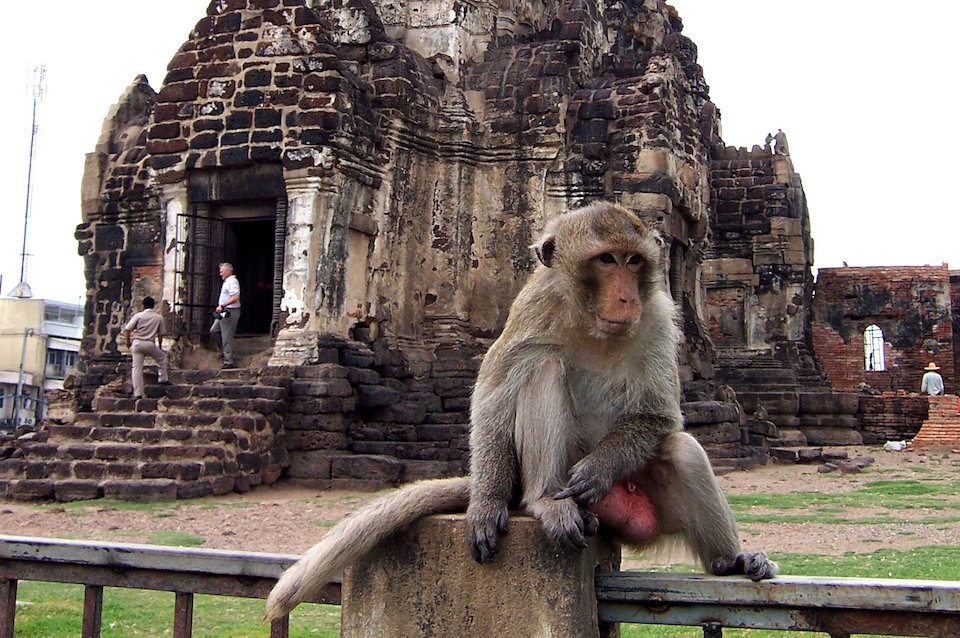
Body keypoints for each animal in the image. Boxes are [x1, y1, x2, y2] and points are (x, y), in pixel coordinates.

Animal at [265, 201, 777, 620]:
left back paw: (729, 561)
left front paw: (597, 468)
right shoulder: (531, 306)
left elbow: (661, 416)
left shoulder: (658, 317)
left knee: (681, 451)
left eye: (634, 262)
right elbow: (493, 395)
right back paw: (546, 502)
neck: (590, 321)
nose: (627, 296)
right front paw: (487, 503)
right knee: (543, 369)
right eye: (606, 260)